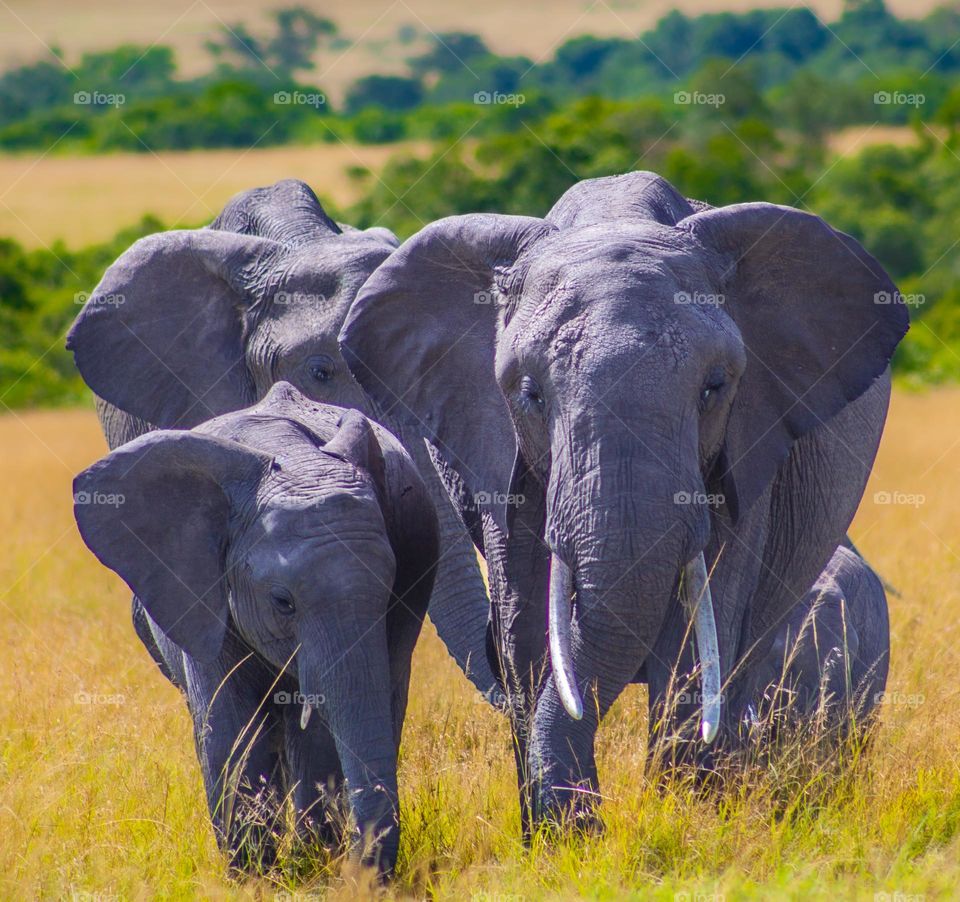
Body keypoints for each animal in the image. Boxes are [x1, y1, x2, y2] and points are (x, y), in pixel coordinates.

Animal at [73, 381, 438, 875]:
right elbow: (231, 726)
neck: (291, 456)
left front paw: (307, 864)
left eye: (389, 595)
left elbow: (316, 731)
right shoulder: (202, 589)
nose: (364, 874)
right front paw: (252, 875)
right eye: (283, 602)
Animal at [339, 170, 909, 830]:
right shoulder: (494, 449)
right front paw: (562, 836)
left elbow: (697, 636)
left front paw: (677, 824)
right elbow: (527, 633)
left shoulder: (747, 448)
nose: (593, 820)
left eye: (715, 387)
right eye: (530, 394)